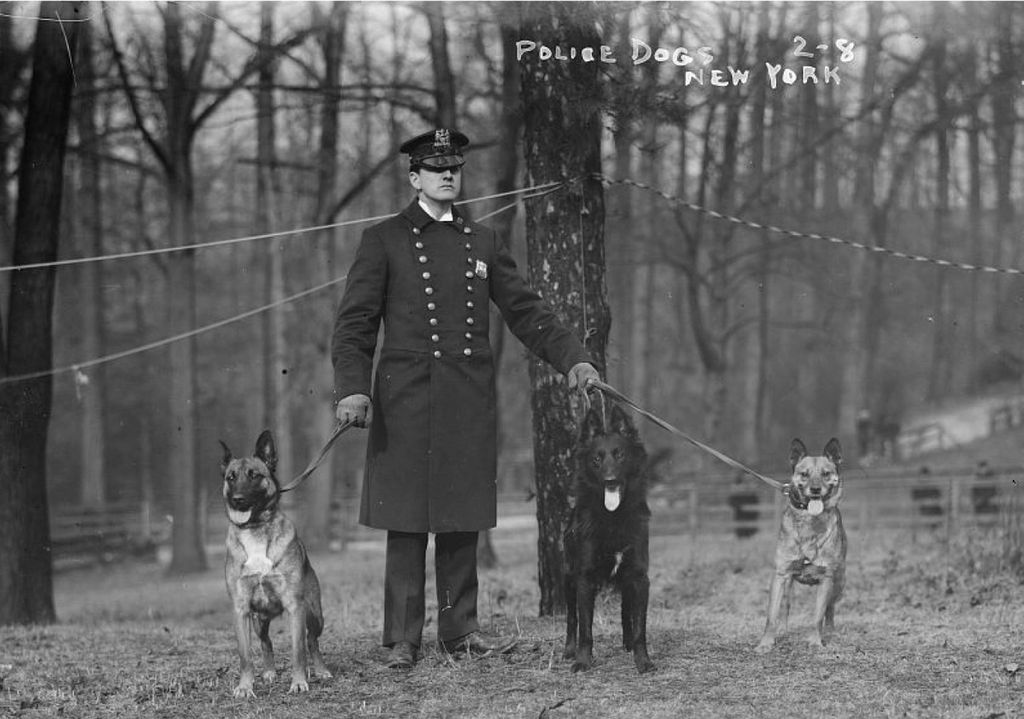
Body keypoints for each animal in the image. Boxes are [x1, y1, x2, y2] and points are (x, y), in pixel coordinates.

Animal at [221, 434, 329, 696]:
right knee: (266, 641)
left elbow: (298, 651)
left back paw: (320, 670)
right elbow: (245, 656)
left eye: (254, 475)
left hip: (314, 614)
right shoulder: (241, 610)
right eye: (231, 477)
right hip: (259, 620)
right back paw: (269, 671)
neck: (255, 529)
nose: (238, 500)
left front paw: (299, 682)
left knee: (312, 642)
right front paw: (245, 686)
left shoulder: (295, 607)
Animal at [561, 405, 655, 675]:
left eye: (620, 455)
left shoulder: (639, 577)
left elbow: (639, 626)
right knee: (571, 618)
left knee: (625, 612)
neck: (613, 517)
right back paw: (569, 650)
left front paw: (642, 661)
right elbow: (585, 628)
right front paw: (582, 661)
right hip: (568, 577)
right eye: (596, 459)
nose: (610, 480)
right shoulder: (584, 578)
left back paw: (627, 644)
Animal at [753, 438, 847, 655]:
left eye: (826, 473)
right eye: (804, 474)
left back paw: (831, 632)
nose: (815, 489)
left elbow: (817, 617)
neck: (810, 522)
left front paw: (815, 642)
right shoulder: (780, 575)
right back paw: (783, 630)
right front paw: (766, 643)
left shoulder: (827, 579)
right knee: (786, 607)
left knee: (830, 610)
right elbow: (771, 616)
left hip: (838, 584)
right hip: (788, 585)